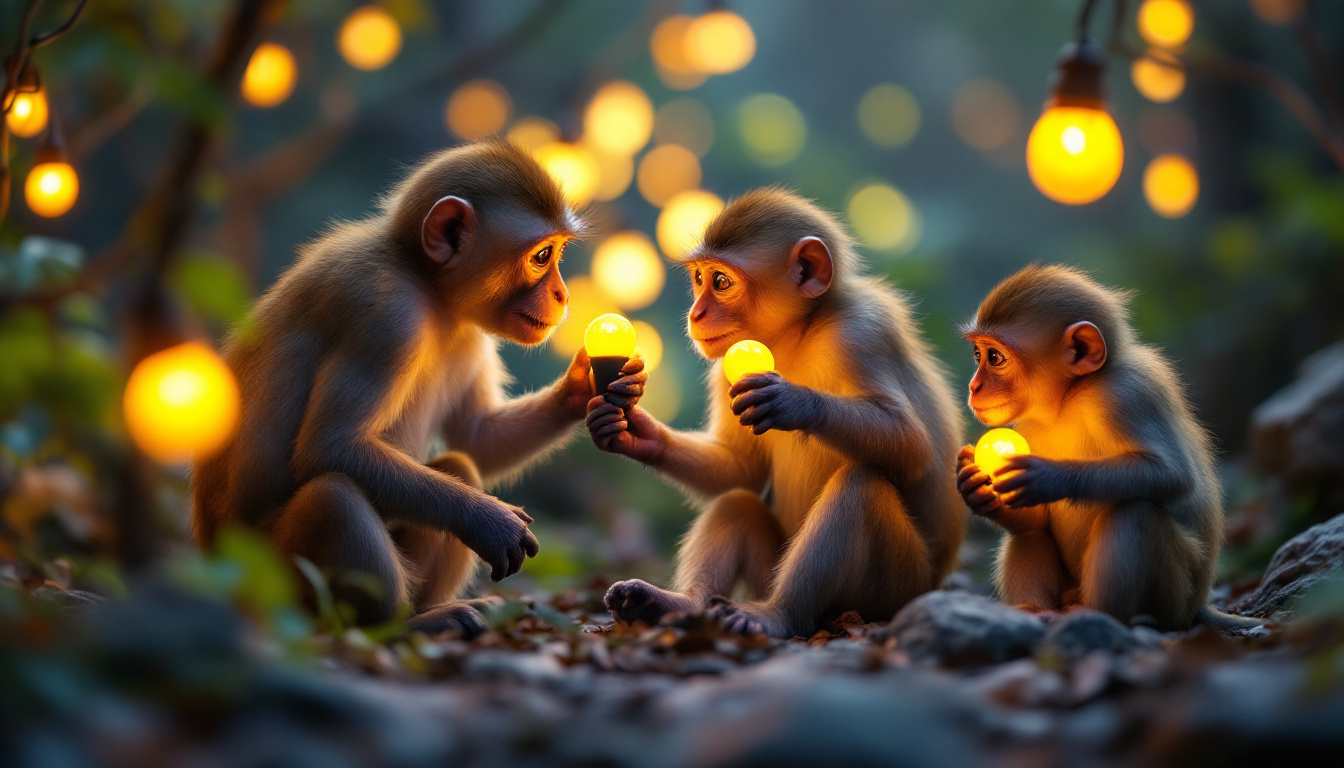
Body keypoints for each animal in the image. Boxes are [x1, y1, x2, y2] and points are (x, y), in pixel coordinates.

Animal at [191, 139, 646, 637]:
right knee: (332, 497)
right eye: (543, 256)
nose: (563, 295)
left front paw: (590, 385)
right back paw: (403, 627)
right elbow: (331, 446)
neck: (429, 288)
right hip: (278, 579)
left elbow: (477, 438)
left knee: (458, 465)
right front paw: (487, 519)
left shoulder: (470, 333)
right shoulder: (385, 313)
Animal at [586, 187, 966, 639]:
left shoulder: (862, 332)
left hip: (892, 590)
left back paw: (777, 614)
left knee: (860, 486)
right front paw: (638, 433)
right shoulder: (726, 365)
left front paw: (793, 402)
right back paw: (674, 604)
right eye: (698, 279)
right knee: (737, 502)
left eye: (720, 282)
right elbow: (742, 471)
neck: (797, 334)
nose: (696, 314)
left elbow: (912, 445)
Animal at [956, 264, 1259, 632]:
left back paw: (1099, 616)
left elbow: (1172, 474)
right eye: (977, 354)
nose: (974, 386)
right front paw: (973, 488)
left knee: (1136, 513)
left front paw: (1047, 477)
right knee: (1030, 534)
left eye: (994, 357)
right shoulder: (1027, 426)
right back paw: (1034, 610)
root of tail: (1197, 607)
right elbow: (1034, 518)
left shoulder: (1124, 394)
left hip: (1173, 601)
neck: (1070, 397)